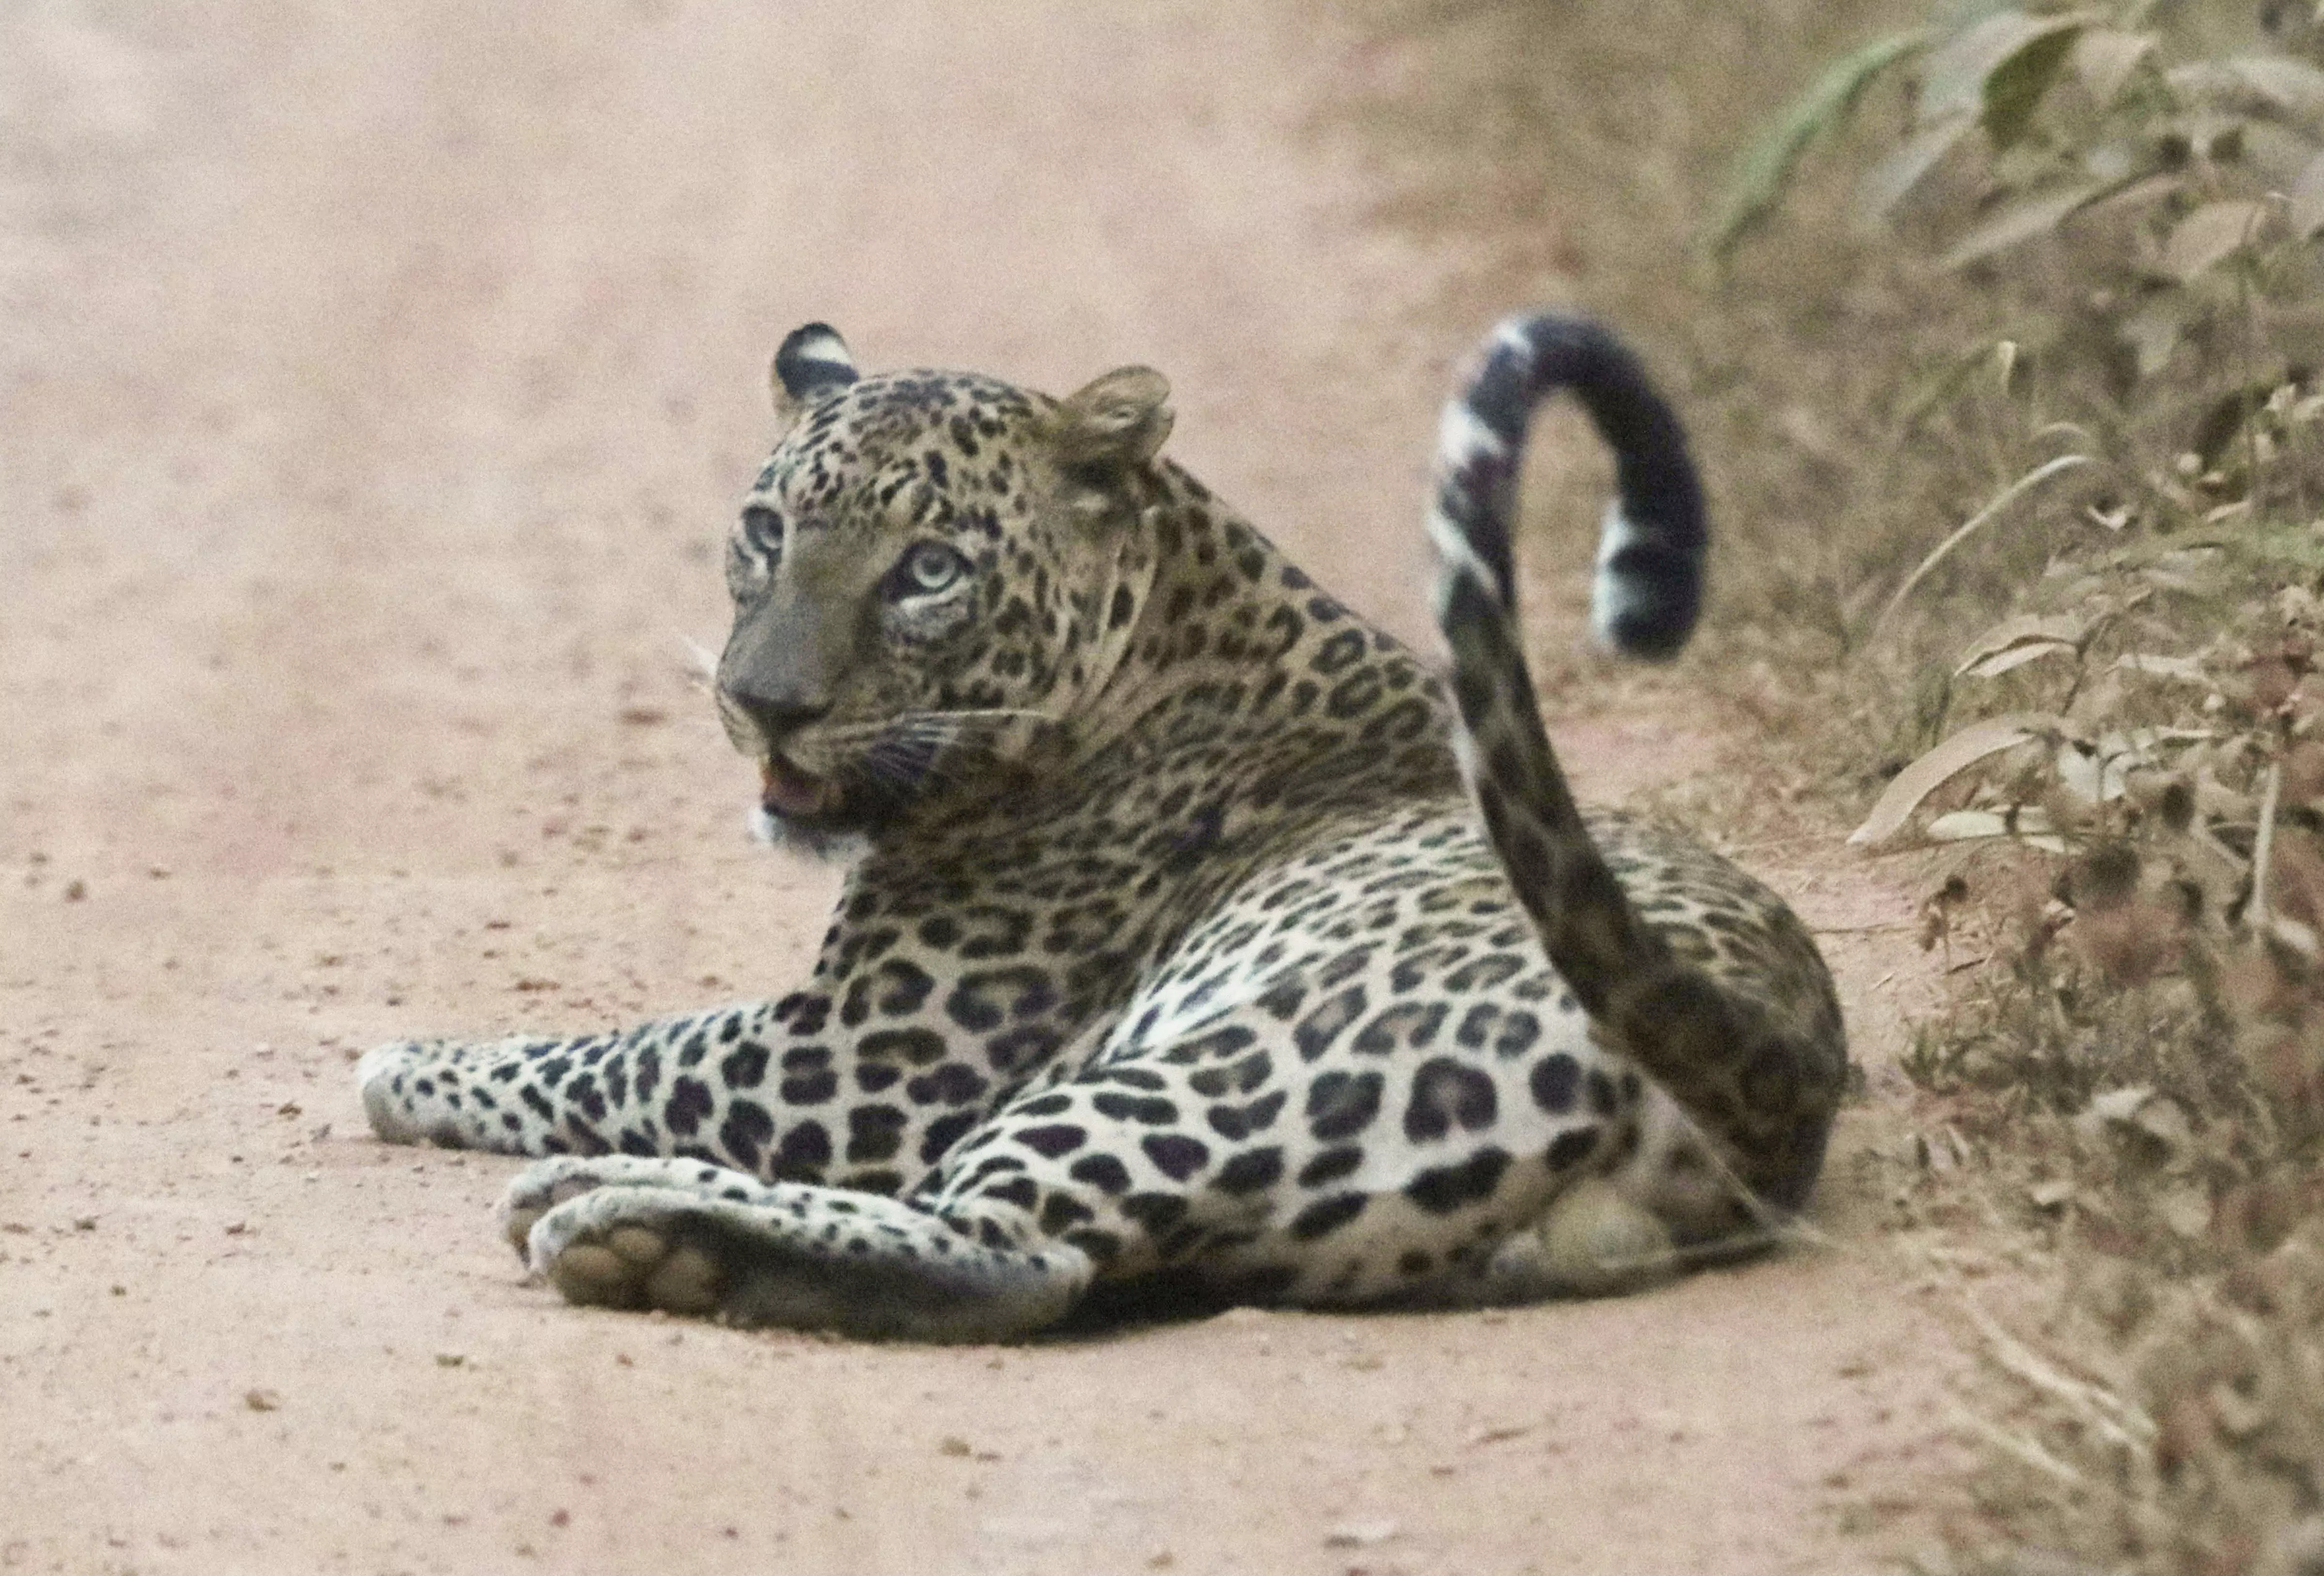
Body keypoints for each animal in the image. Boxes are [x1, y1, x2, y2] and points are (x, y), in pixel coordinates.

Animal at [353, 311, 1840, 1348]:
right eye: (765, 530)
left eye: (928, 572)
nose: (763, 706)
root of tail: (1774, 1064)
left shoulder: (857, 1056)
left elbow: (624, 1045)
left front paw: (409, 1062)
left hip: (1209, 1066)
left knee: (1014, 1253)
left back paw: (619, 1215)